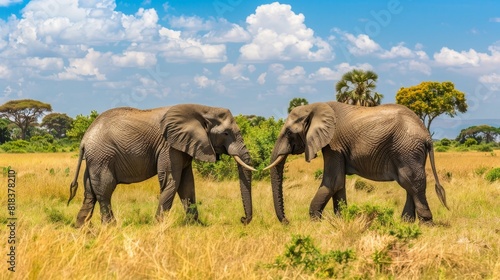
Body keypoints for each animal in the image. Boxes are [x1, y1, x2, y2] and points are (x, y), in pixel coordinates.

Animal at [67, 103, 254, 228]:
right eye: (226, 133)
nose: (243, 220)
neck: (203, 109)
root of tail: (84, 139)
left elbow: (187, 184)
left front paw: (196, 226)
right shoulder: (168, 146)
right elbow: (172, 181)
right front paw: (159, 225)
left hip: (95, 160)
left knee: (90, 191)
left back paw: (81, 227)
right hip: (103, 157)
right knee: (104, 190)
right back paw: (111, 227)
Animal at [266, 101, 450, 224]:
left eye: (289, 133)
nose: (287, 222)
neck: (315, 106)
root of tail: (426, 134)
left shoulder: (334, 144)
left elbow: (333, 182)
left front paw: (315, 222)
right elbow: (339, 183)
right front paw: (342, 219)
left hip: (406, 149)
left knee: (412, 182)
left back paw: (426, 224)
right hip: (410, 152)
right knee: (410, 184)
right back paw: (406, 222)